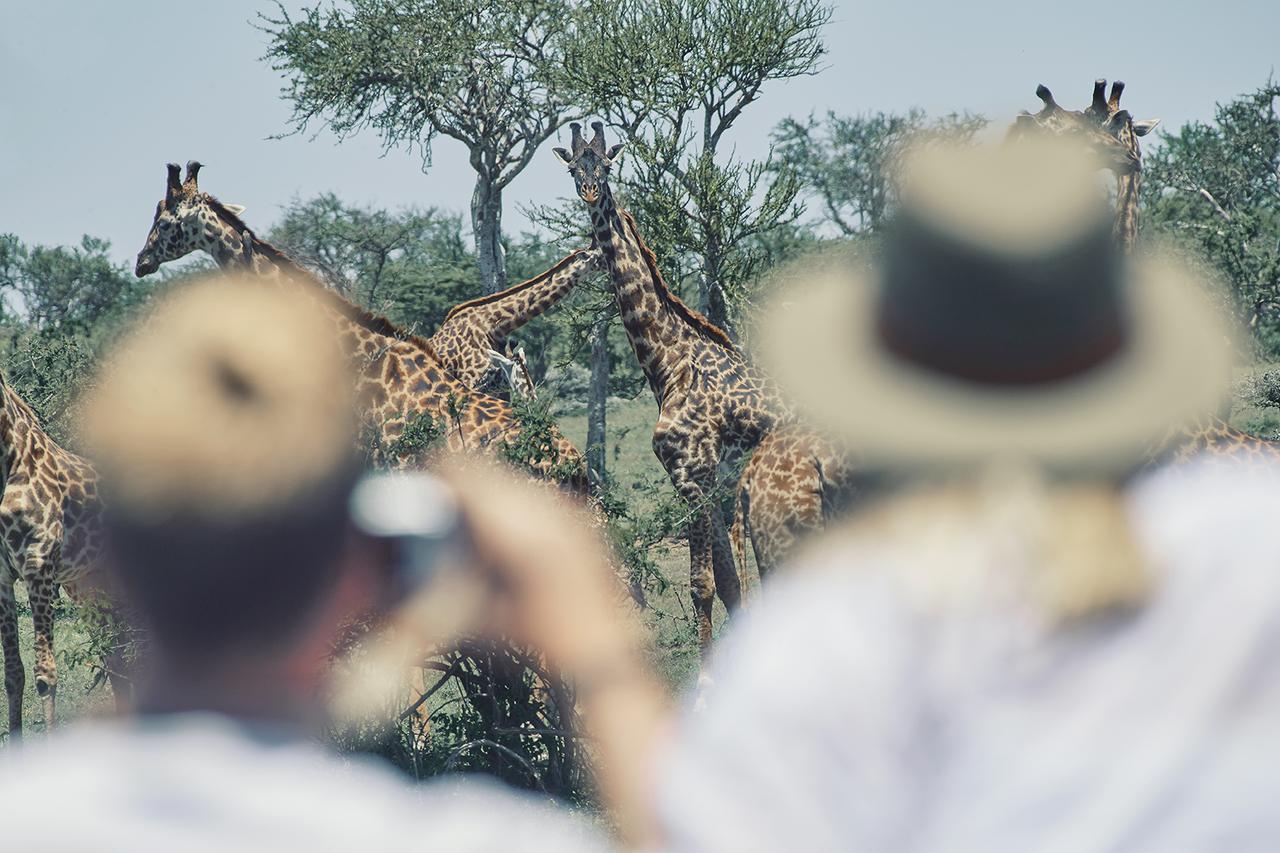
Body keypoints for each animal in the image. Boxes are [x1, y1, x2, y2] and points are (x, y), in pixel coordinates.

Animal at [558, 121, 788, 650]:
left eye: (606, 164)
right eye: (573, 166)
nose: (590, 192)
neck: (668, 362)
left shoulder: (693, 475)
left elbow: (702, 584)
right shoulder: (710, 481)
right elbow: (728, 585)